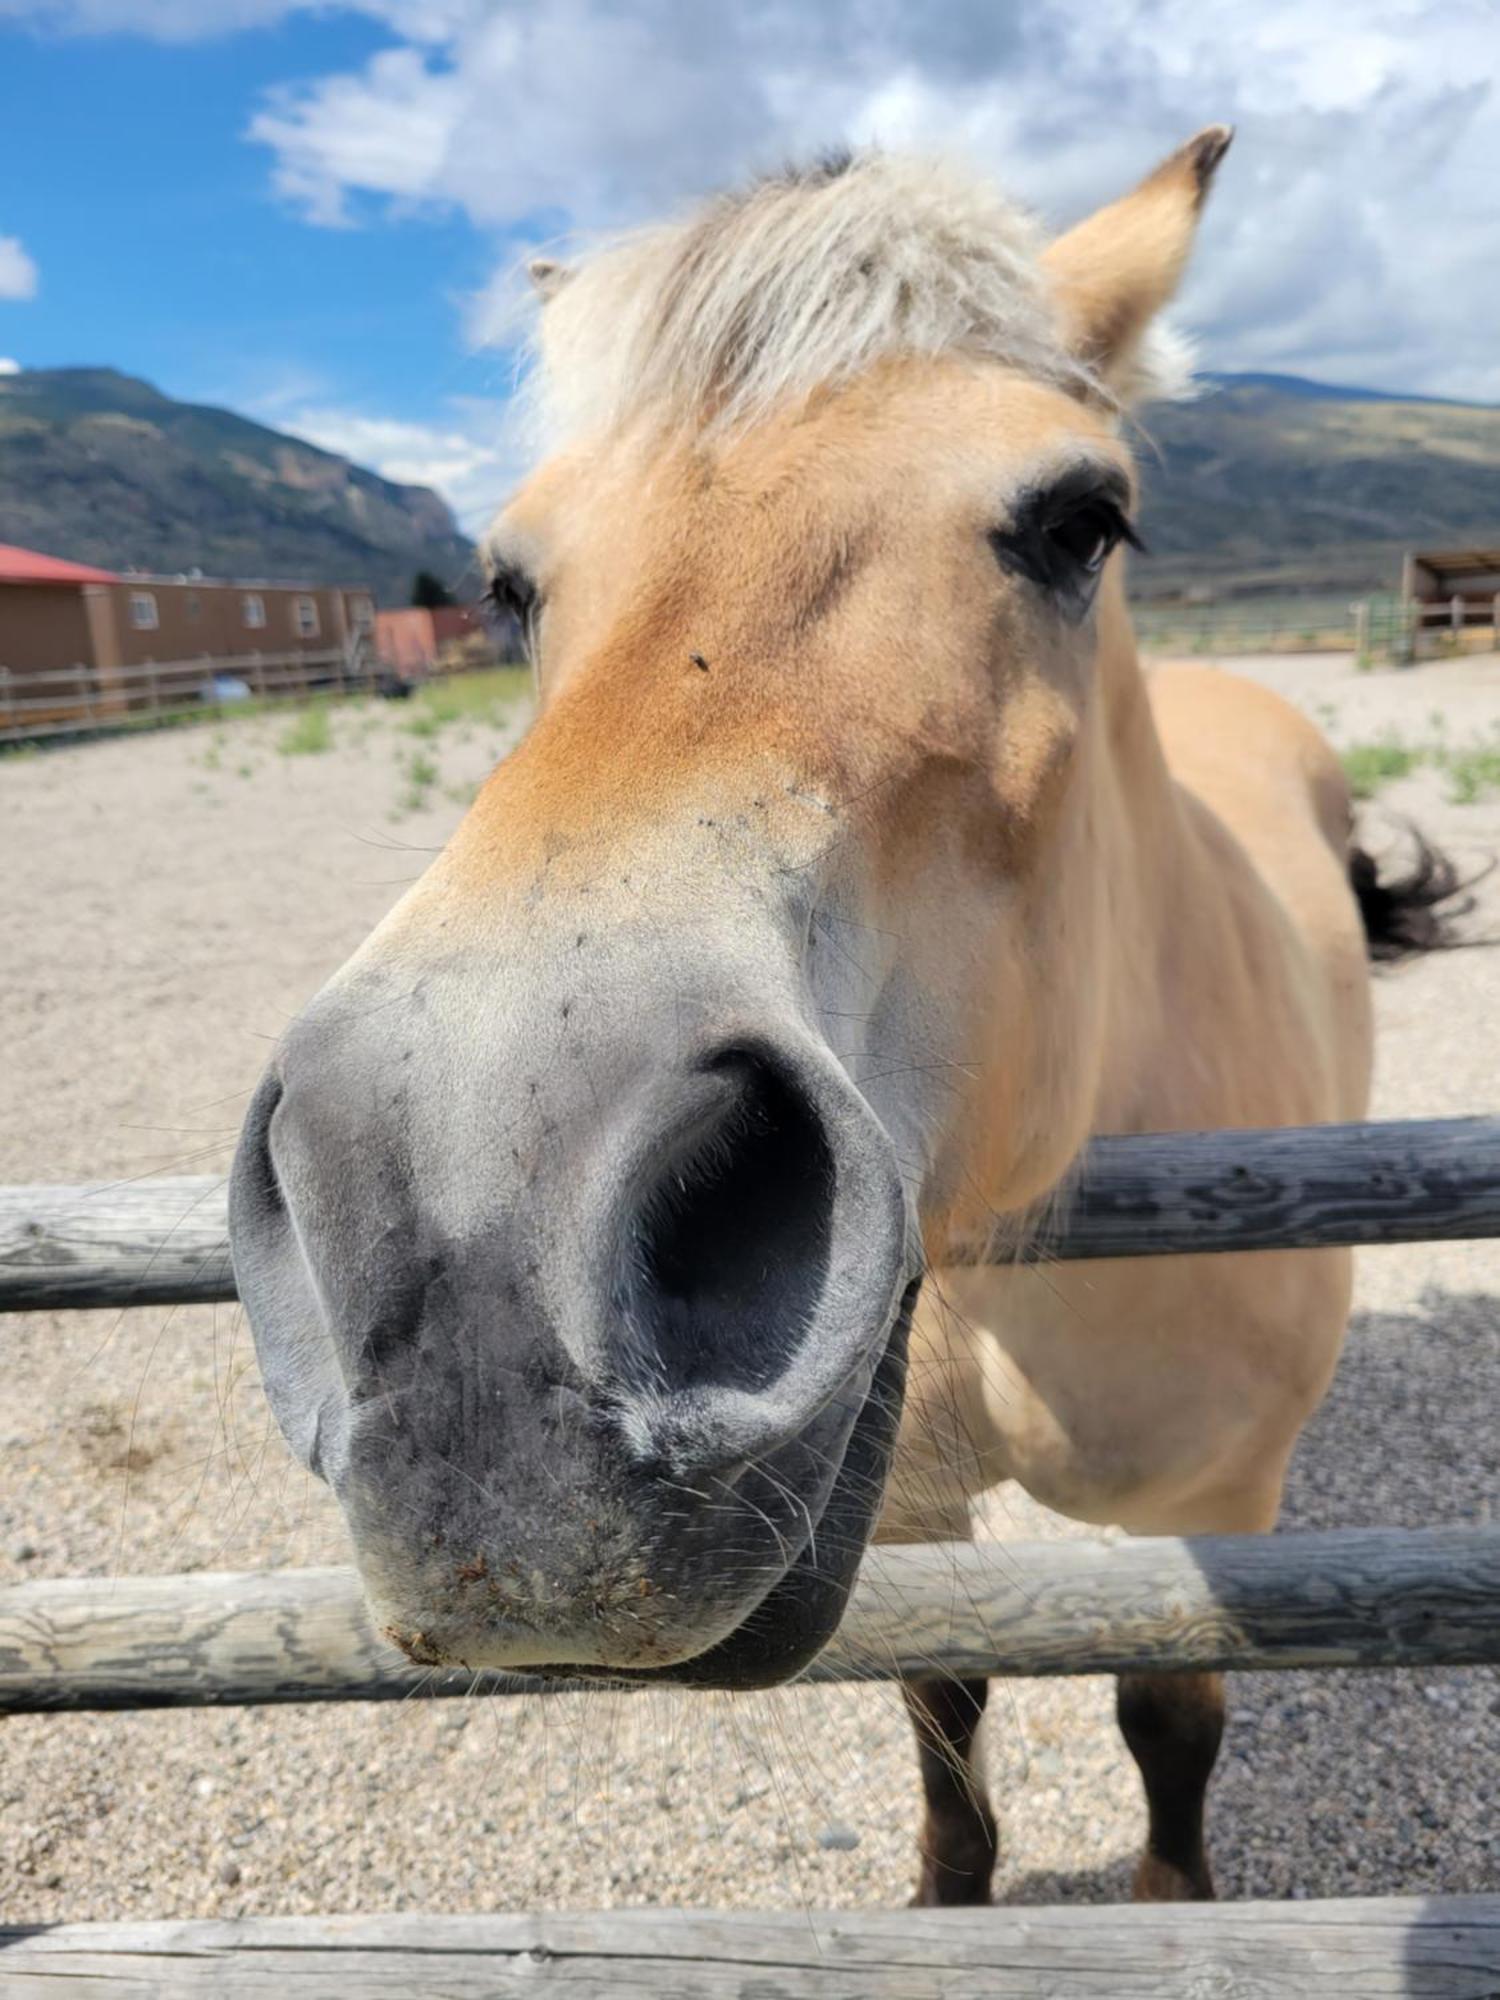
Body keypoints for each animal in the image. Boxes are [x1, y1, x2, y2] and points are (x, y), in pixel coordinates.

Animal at [229, 125, 1464, 1904]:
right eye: (509, 582)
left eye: (1084, 519)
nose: (473, 1264)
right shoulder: (918, 1512)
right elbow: (944, 1703)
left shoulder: (1214, 1503)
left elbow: (1167, 1718)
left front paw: (1175, 1904)